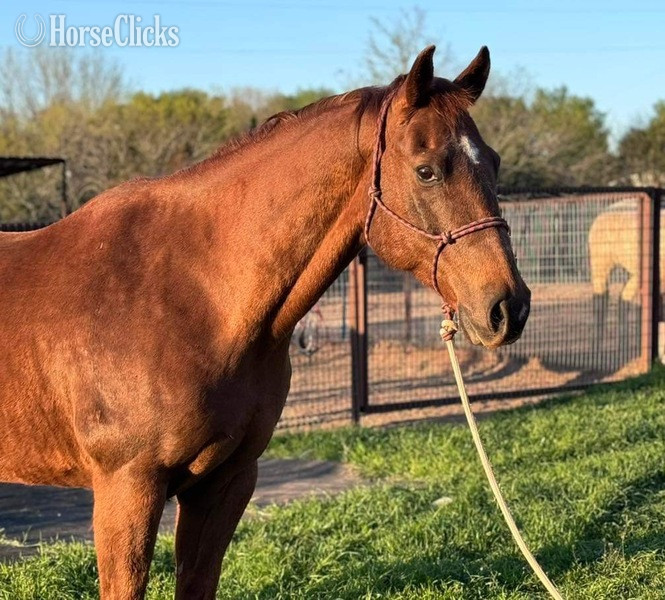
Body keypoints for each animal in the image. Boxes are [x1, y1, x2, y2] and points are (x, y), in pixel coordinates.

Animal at [0, 46, 530, 599]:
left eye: (493, 162)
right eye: (427, 171)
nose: (508, 307)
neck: (194, 297)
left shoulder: (226, 482)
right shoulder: (127, 489)